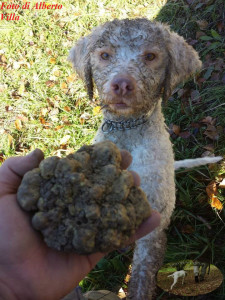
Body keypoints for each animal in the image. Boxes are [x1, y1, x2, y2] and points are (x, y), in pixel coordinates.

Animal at [68, 18, 221, 298]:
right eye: (104, 55)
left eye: (150, 56)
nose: (121, 85)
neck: (127, 129)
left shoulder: (153, 228)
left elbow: (141, 280)